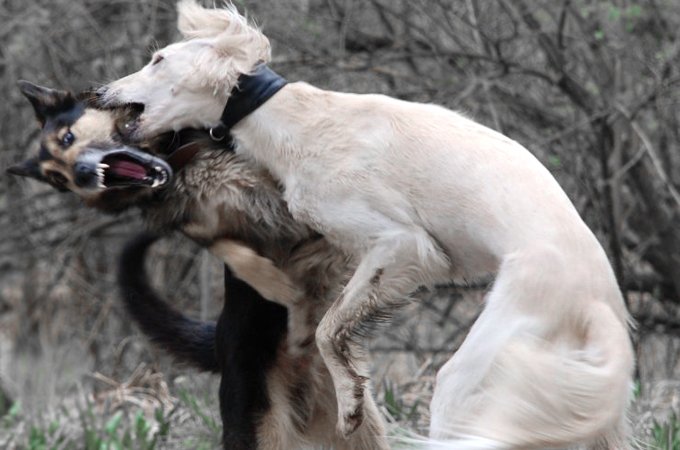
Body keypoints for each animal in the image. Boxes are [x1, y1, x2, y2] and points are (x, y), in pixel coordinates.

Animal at [7, 81, 388, 450]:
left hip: (362, 427)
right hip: (262, 427)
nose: (82, 174)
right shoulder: (199, 225)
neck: (177, 163)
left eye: (67, 138)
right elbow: (230, 250)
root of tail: (218, 344)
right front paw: (276, 283)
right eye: (58, 178)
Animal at [99, 1, 632, 448]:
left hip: (471, 376)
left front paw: (349, 400)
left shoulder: (402, 246)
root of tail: (602, 303)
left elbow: (326, 329)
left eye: (158, 60)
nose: (102, 92)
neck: (292, 119)